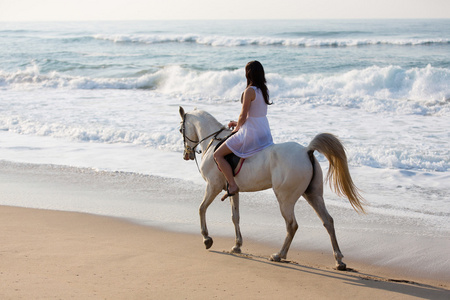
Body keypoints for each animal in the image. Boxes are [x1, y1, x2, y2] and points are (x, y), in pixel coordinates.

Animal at [178, 106, 364, 270]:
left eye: (181, 130)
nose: (186, 155)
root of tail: (307, 150)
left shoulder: (213, 186)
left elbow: (201, 208)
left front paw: (206, 238)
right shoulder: (233, 191)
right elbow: (235, 217)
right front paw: (237, 245)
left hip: (285, 199)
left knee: (292, 225)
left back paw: (279, 255)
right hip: (313, 195)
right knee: (328, 221)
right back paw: (339, 261)